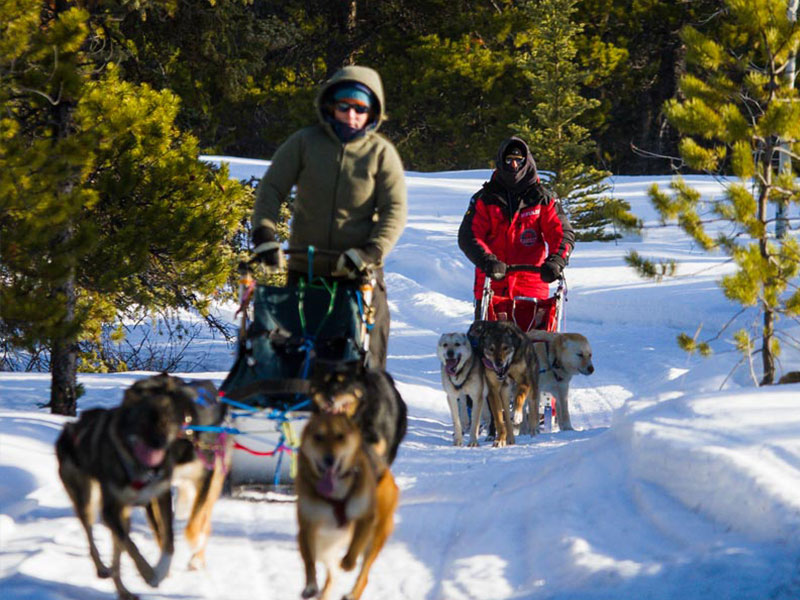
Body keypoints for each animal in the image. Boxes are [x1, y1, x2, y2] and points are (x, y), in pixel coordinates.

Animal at [55, 372, 231, 596]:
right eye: (141, 419)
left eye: (166, 420)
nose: (158, 443)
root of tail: (68, 430)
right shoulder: (129, 505)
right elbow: (150, 539)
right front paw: (155, 572)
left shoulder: (193, 482)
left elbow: (181, 531)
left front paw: (173, 560)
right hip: (87, 500)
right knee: (94, 538)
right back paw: (105, 570)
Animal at [296, 412, 398, 600]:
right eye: (318, 437)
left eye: (340, 436)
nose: (329, 459)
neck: (335, 495)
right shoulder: (307, 524)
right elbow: (309, 560)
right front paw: (310, 586)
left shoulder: (365, 518)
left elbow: (355, 545)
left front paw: (348, 563)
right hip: (324, 547)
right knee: (332, 574)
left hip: (375, 538)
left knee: (363, 575)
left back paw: (352, 592)